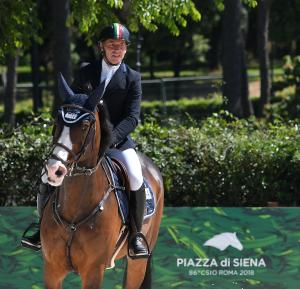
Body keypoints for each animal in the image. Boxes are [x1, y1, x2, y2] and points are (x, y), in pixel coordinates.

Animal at [39, 75, 164, 288]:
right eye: (57, 121)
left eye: (84, 126)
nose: (54, 170)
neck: (75, 209)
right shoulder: (52, 269)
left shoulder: (93, 271)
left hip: (138, 261)